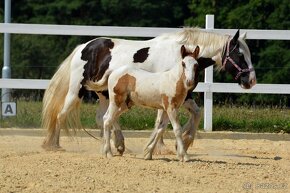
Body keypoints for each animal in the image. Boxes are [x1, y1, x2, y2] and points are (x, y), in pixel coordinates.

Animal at [42, 27, 255, 155]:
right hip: (76, 90)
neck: (180, 55)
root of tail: (83, 47)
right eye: (240, 54)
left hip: (105, 95)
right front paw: (159, 148)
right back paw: (54, 145)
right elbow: (162, 122)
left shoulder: (183, 96)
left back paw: (116, 145)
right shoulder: (167, 96)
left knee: (103, 118)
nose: (251, 80)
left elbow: (195, 113)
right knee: (62, 114)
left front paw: (184, 141)